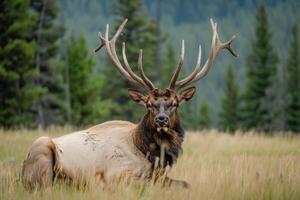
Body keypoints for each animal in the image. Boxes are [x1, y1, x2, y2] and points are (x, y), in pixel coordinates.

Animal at [21, 18, 237, 189]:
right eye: (149, 104)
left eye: (175, 103)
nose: (161, 120)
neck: (151, 155)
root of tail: (21, 170)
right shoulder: (117, 175)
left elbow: (185, 183)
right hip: (42, 151)